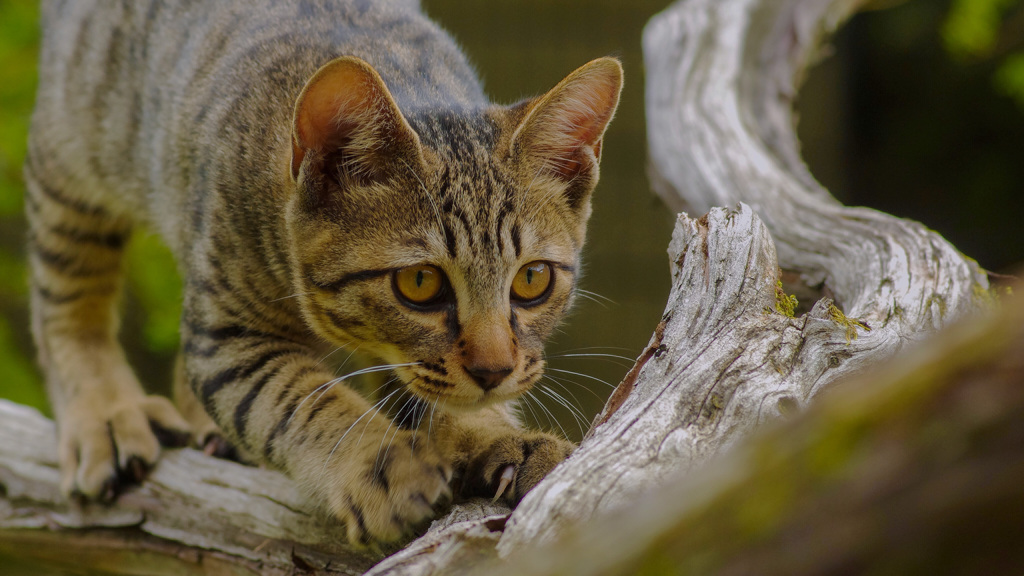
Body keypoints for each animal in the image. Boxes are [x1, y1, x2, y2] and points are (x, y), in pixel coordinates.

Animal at [28, 0, 618, 541]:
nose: (493, 371)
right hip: (71, 157)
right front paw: (382, 466)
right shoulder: (227, 337)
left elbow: (429, 396)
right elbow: (301, 400)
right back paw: (105, 413)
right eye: (420, 284)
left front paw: (498, 436)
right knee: (65, 297)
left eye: (532, 280)